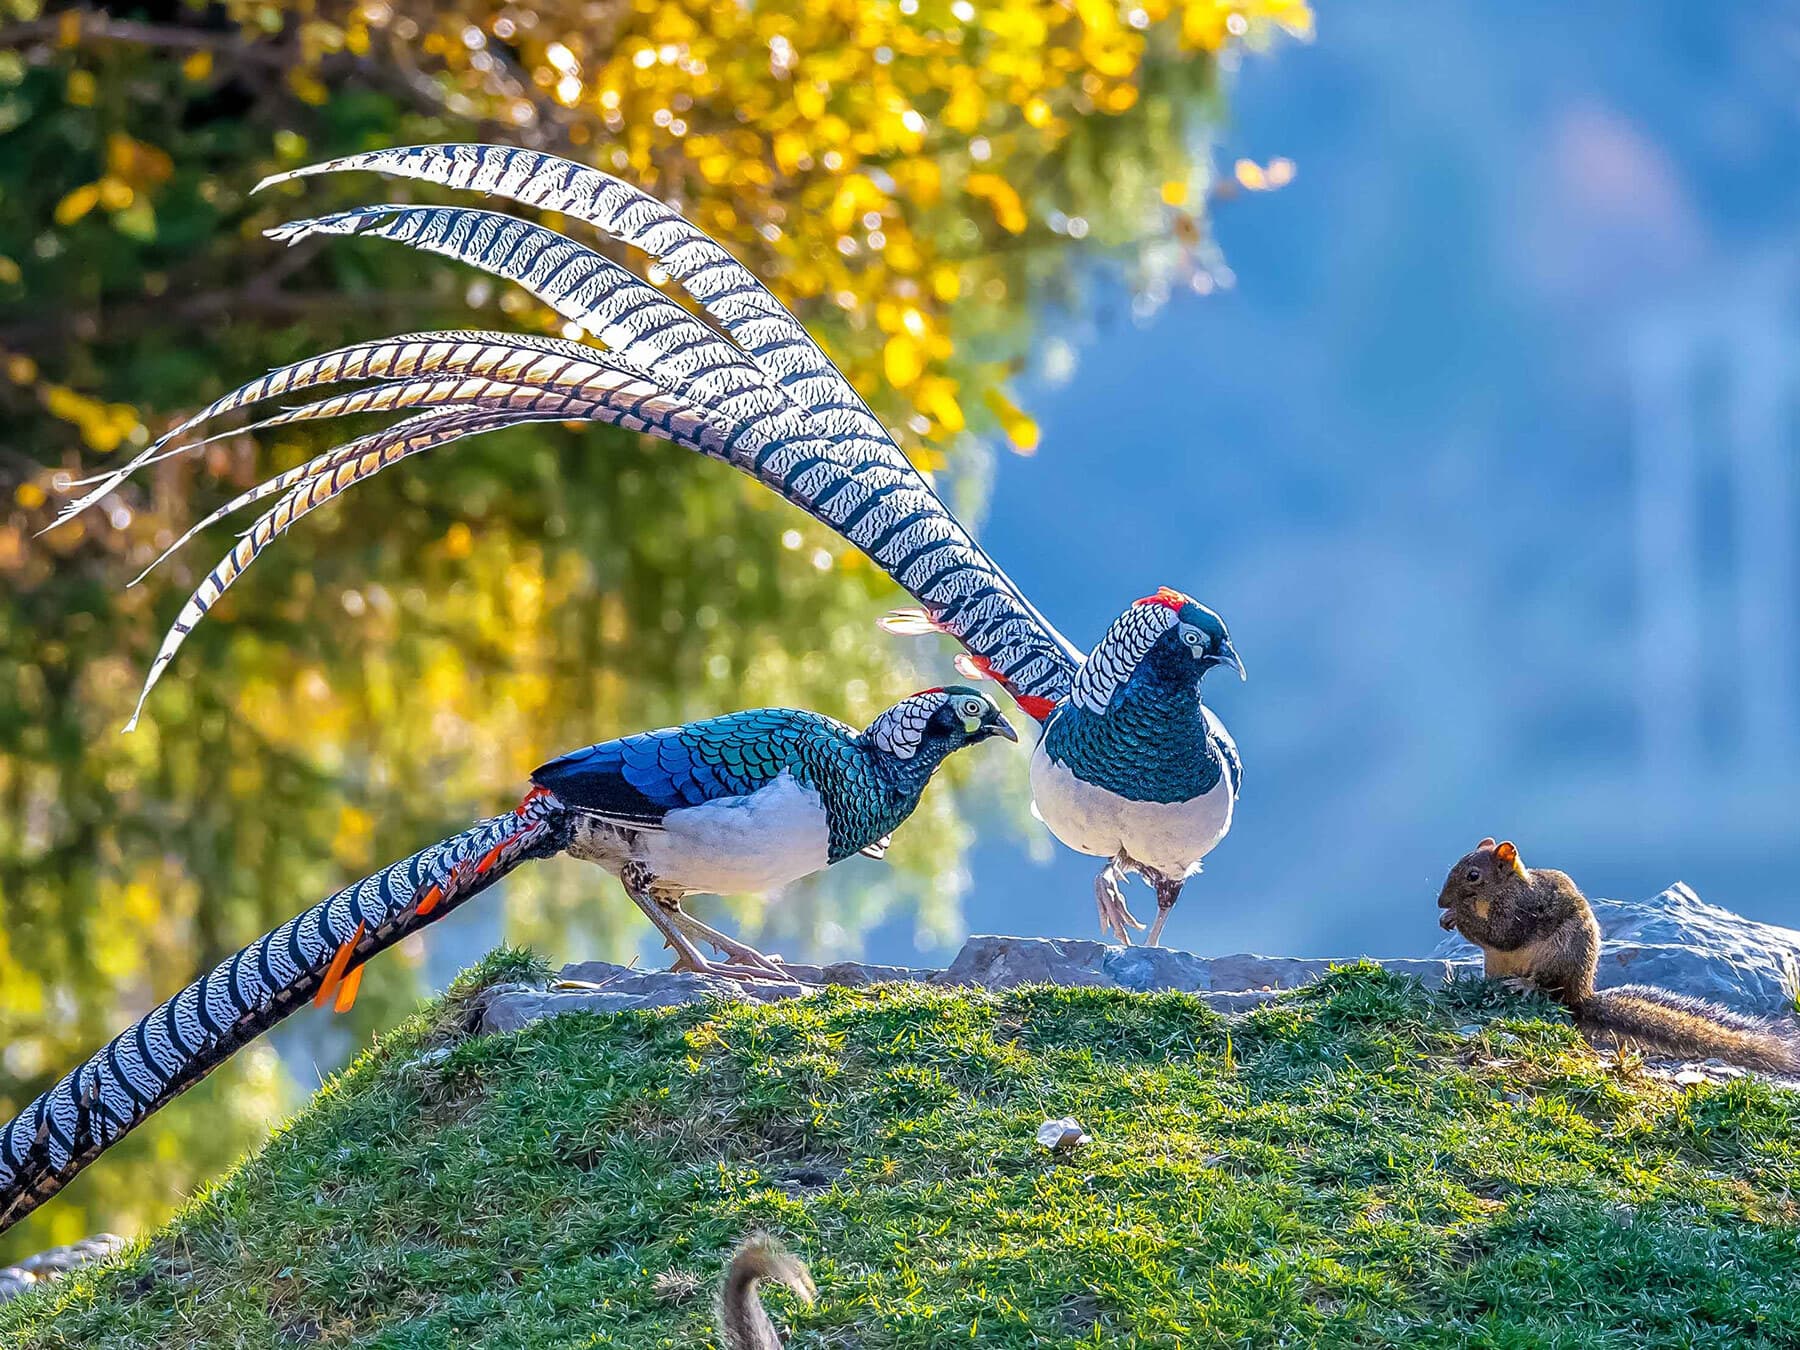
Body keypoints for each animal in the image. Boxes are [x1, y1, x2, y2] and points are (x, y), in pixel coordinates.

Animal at [1437, 839, 1800, 1074]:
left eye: (1473, 875)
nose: (1440, 902)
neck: (1501, 891)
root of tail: (1581, 995)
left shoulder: (1520, 911)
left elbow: (1500, 934)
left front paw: (1458, 915)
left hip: (1559, 960)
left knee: (1551, 989)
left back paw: (1525, 985)